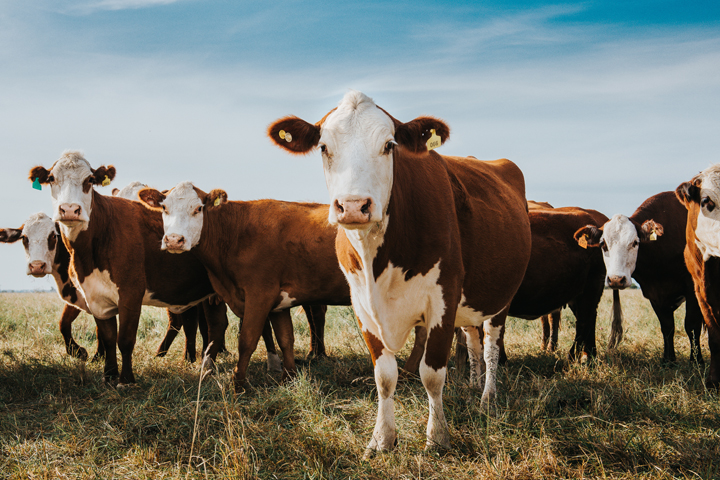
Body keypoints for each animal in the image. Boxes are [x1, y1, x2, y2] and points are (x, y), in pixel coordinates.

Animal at [28, 151, 230, 386]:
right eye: (51, 178)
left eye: (90, 180)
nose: (69, 209)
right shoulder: (96, 297)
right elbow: (107, 337)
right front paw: (108, 375)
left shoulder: (130, 294)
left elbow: (124, 339)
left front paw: (126, 379)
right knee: (213, 324)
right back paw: (205, 363)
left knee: (213, 325)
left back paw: (206, 365)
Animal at [136, 182, 351, 389]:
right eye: (164, 208)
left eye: (198, 208)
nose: (174, 240)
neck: (235, 233)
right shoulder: (279, 304)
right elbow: (285, 339)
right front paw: (288, 379)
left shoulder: (260, 295)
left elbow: (247, 340)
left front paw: (238, 384)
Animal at [267, 91, 532, 455]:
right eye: (323, 147)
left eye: (389, 145)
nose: (353, 206)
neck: (378, 260)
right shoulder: (362, 305)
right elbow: (384, 376)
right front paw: (382, 439)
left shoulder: (443, 299)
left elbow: (432, 373)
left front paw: (437, 437)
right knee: (474, 341)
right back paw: (472, 385)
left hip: (501, 297)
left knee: (491, 345)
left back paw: (487, 397)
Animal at [575, 191, 704, 364]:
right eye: (603, 244)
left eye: (635, 242)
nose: (616, 279)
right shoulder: (655, 293)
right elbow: (667, 326)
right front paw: (668, 360)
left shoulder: (693, 289)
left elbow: (692, 325)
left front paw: (697, 361)